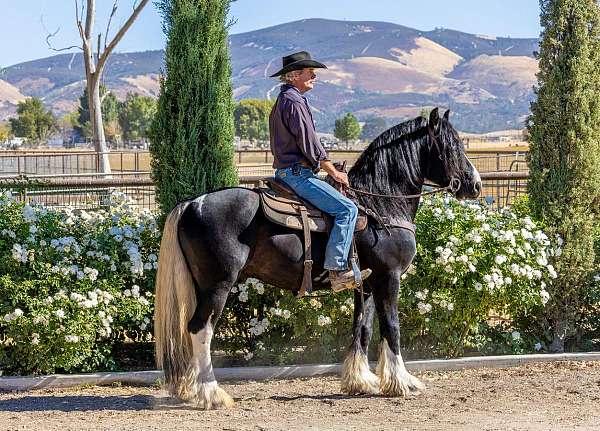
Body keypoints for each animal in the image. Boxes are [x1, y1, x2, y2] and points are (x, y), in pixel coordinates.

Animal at [152, 108, 480, 408]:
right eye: (452, 145)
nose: (475, 185)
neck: (380, 205)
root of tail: (191, 204)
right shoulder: (389, 277)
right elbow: (392, 327)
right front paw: (401, 382)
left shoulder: (367, 283)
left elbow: (363, 327)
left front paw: (361, 380)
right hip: (217, 285)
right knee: (201, 330)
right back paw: (212, 393)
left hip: (200, 286)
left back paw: (191, 389)